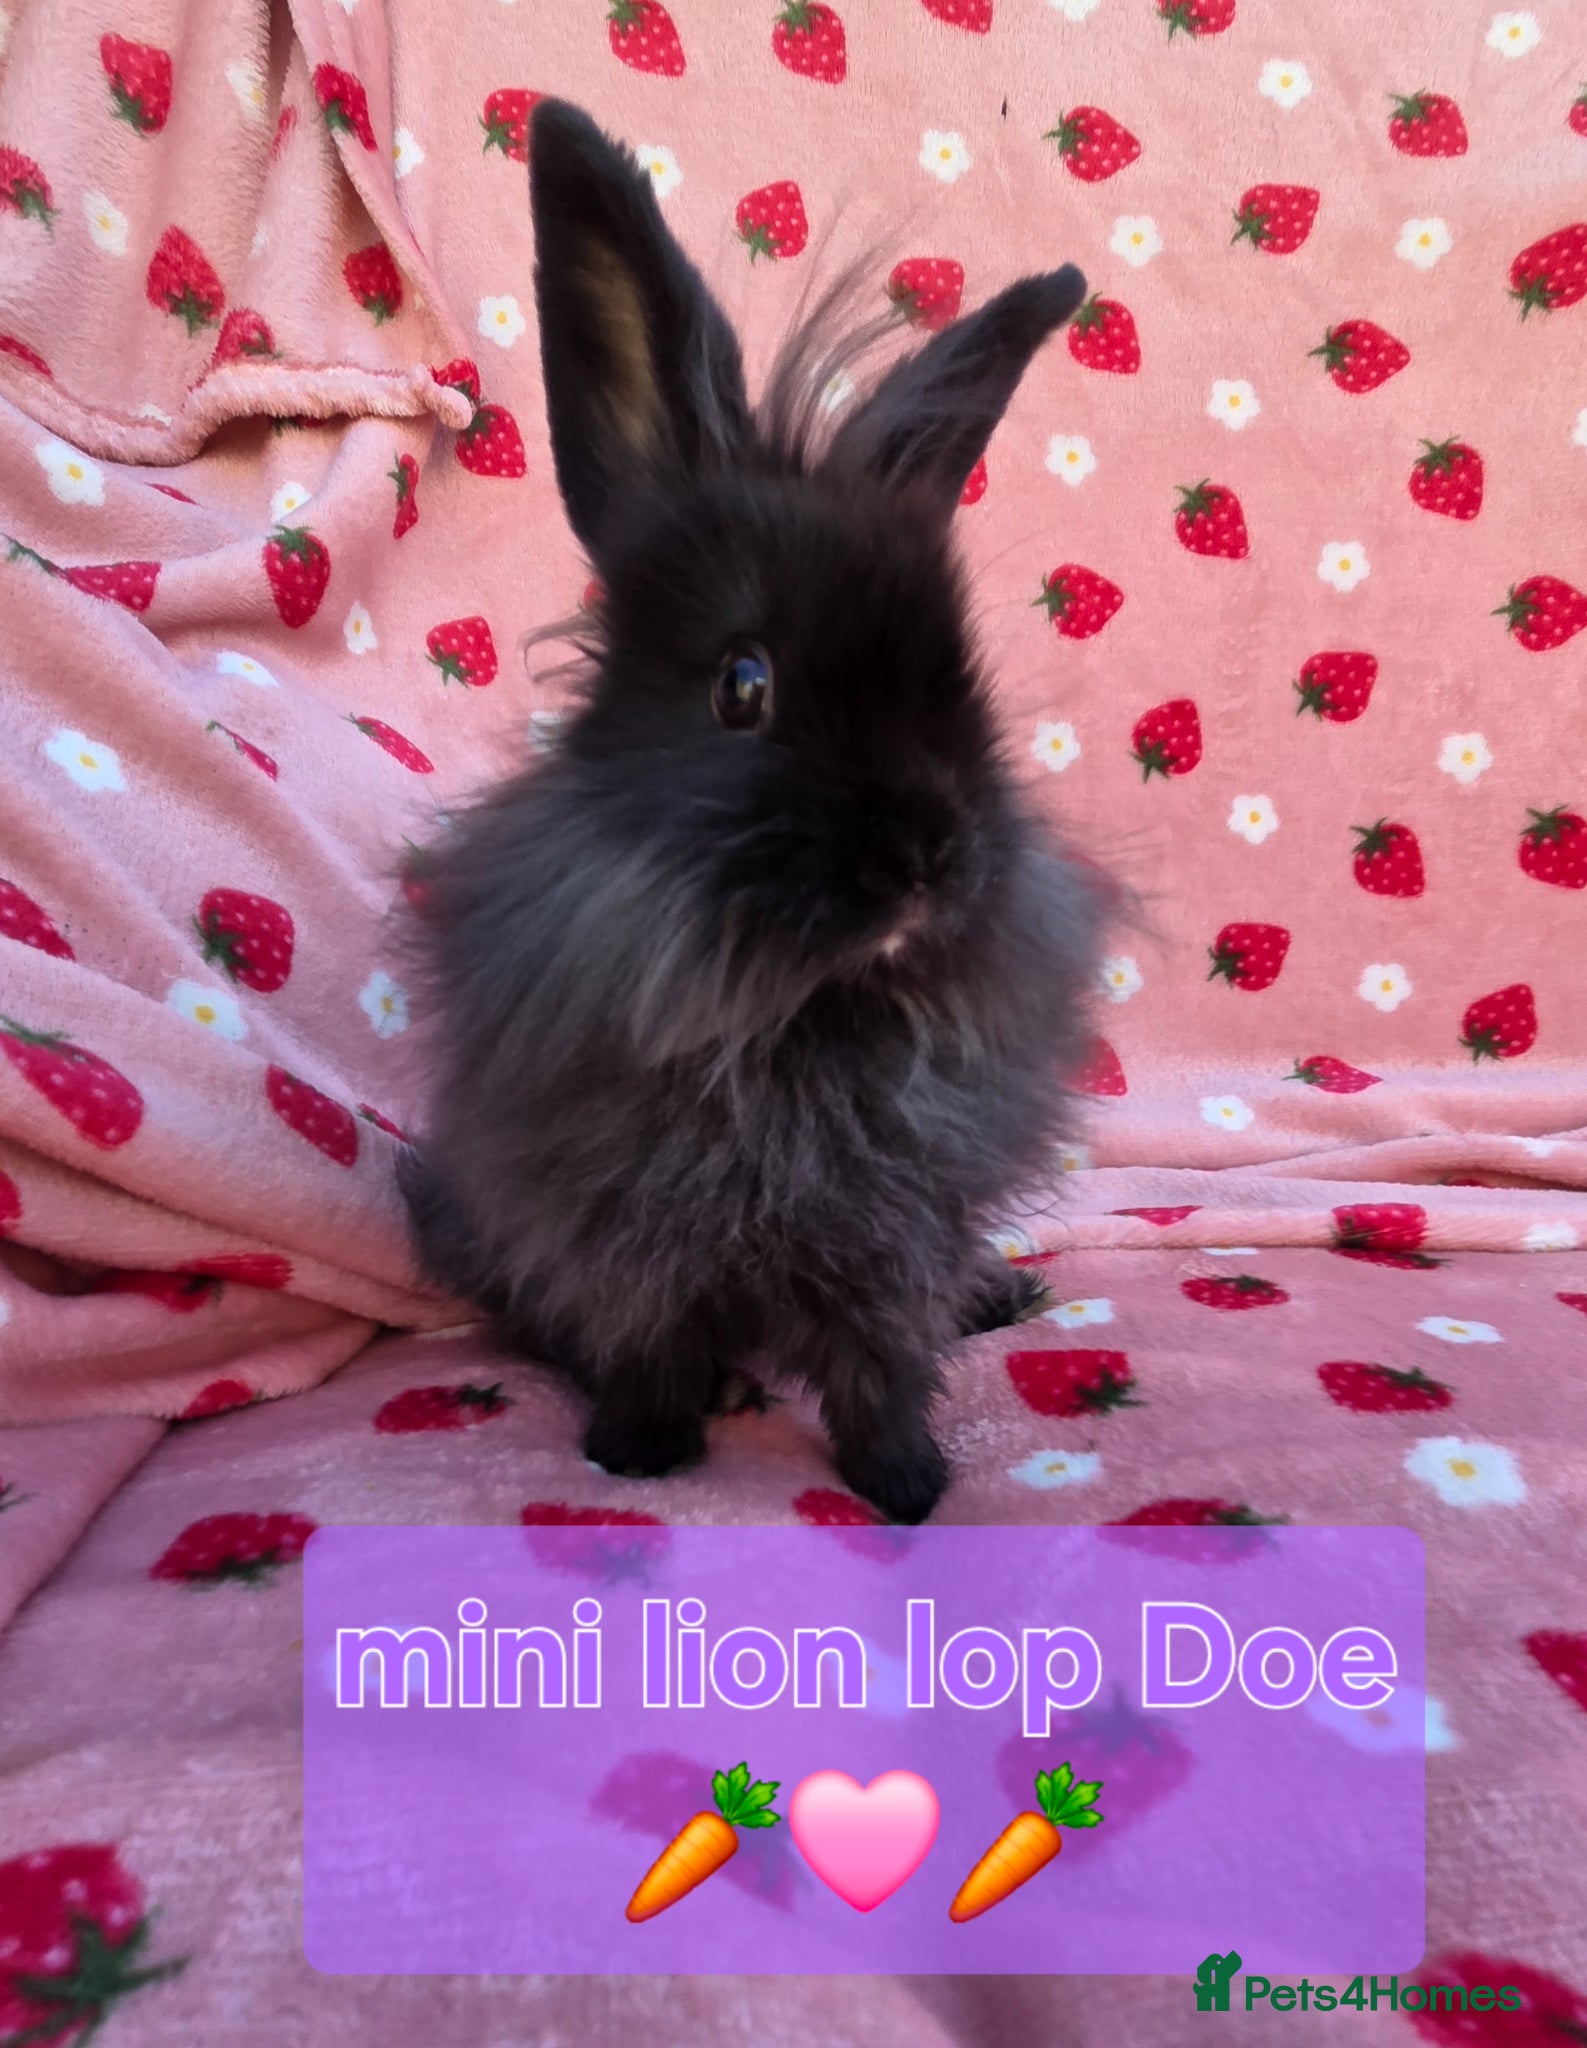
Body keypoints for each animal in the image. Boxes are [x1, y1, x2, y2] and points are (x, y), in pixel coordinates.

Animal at [396, 97, 1110, 1525]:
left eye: (968, 685)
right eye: (743, 685)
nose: (928, 860)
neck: (792, 1015)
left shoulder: (894, 1231)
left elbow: (885, 1361)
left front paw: (908, 1483)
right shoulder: (613, 1231)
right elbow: (642, 1342)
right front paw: (639, 1447)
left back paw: (1004, 1295)